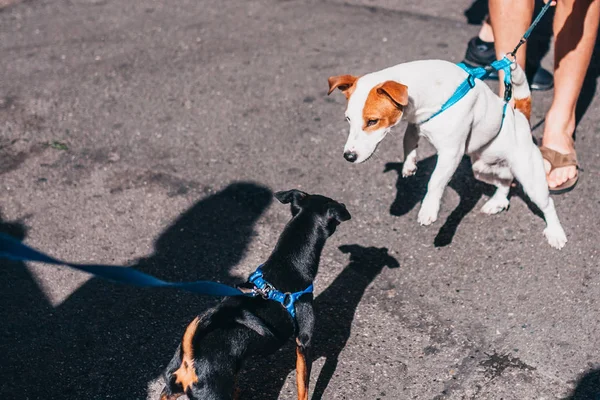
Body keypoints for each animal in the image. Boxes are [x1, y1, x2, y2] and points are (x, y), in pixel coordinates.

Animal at [159, 189, 352, 398]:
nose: (344, 204)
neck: (289, 264)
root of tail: (189, 360)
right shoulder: (304, 343)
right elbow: (303, 386)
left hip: (169, 391)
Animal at [328, 59, 568, 248]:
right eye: (348, 119)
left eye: (372, 121)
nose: (348, 156)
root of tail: (519, 116)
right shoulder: (415, 125)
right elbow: (408, 142)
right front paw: (409, 165)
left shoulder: (451, 153)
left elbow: (435, 182)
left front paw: (429, 210)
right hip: (481, 168)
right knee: (505, 182)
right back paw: (497, 202)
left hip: (530, 177)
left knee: (547, 204)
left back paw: (556, 233)